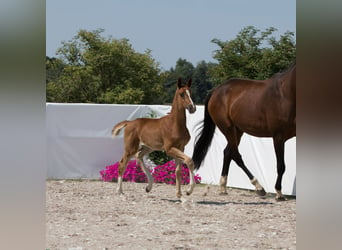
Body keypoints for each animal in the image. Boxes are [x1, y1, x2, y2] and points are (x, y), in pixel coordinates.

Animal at [194, 63, 296, 201]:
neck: (285, 94)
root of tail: (215, 91)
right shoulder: (278, 137)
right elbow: (281, 166)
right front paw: (279, 193)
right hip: (228, 129)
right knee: (236, 155)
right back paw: (259, 187)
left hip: (238, 131)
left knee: (227, 153)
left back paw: (223, 187)